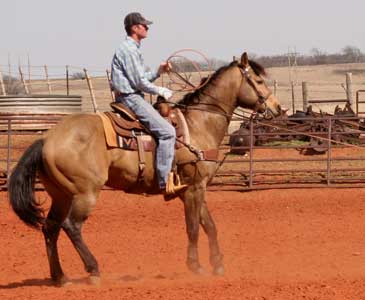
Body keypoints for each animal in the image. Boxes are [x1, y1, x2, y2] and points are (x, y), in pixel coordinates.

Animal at [7, 52, 282, 288]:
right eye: (258, 80)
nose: (278, 108)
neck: (198, 124)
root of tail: (46, 139)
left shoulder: (197, 187)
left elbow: (209, 226)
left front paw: (218, 264)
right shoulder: (193, 188)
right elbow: (193, 227)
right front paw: (196, 267)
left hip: (61, 194)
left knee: (50, 228)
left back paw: (60, 277)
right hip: (85, 193)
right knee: (71, 226)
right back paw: (94, 270)